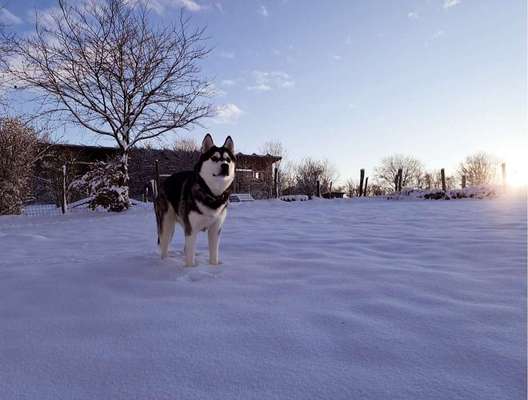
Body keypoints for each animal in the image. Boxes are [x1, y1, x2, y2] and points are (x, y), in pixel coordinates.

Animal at [154, 134, 234, 266]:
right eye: (214, 158)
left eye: (228, 160)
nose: (225, 166)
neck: (211, 194)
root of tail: (164, 183)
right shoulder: (191, 229)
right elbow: (190, 258)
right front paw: (190, 268)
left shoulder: (215, 229)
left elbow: (214, 255)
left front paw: (214, 267)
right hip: (167, 224)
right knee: (164, 245)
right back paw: (164, 263)